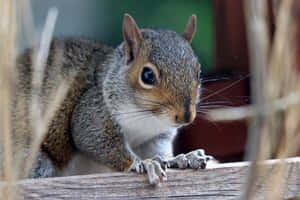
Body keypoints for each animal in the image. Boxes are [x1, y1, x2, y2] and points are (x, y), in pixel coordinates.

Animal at [4, 14, 212, 186]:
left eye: (199, 73)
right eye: (147, 75)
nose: (186, 117)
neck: (147, 119)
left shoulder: (156, 136)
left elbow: (159, 150)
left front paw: (181, 158)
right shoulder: (93, 115)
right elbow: (95, 141)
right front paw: (145, 163)